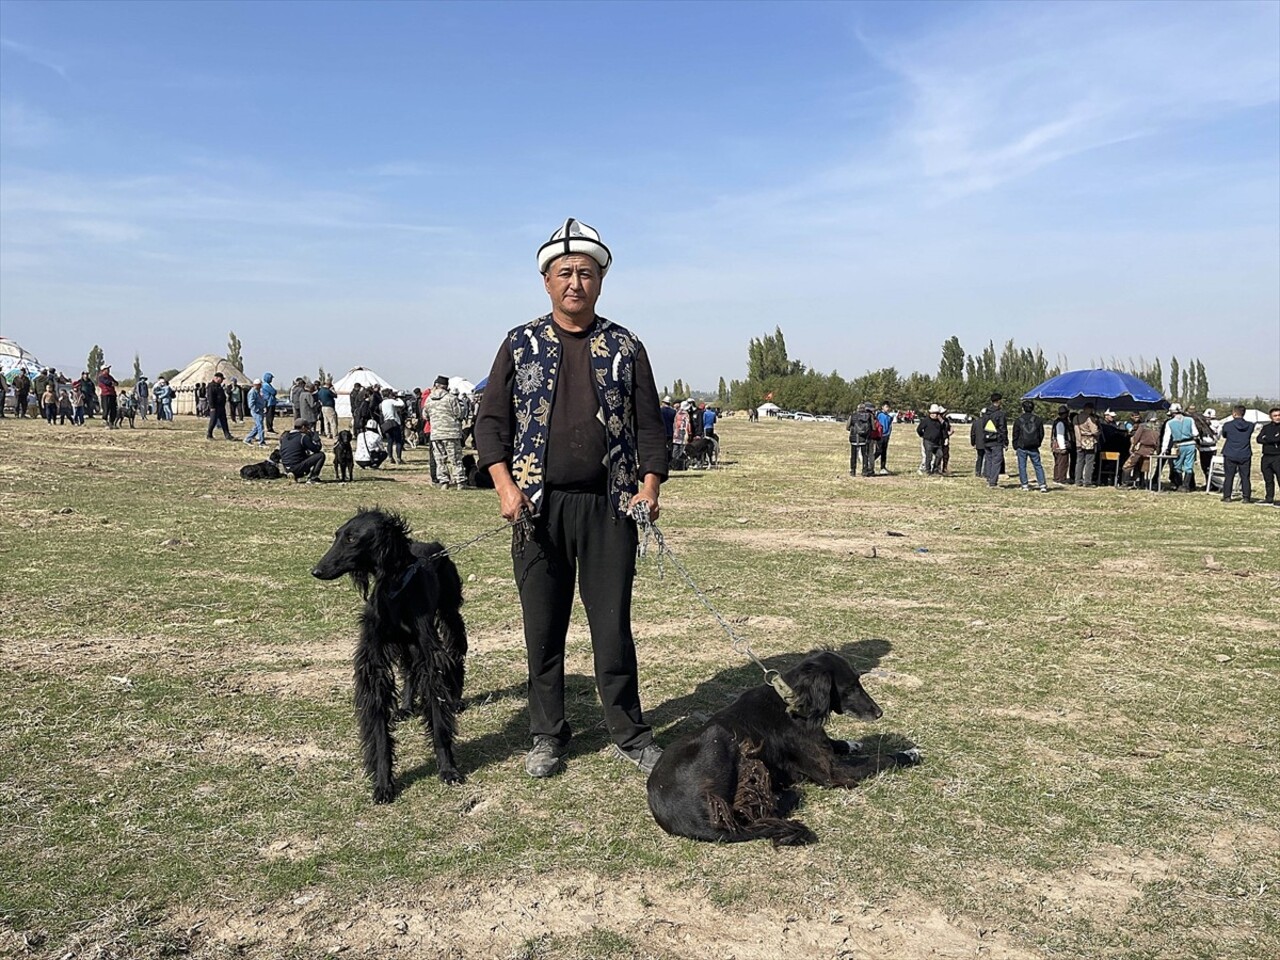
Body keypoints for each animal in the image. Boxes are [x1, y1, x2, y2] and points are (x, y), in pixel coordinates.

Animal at [309, 512, 471, 803]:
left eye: (352, 538)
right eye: (337, 535)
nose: (316, 571)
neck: (395, 588)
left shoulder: (430, 657)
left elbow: (438, 718)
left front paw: (447, 768)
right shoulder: (374, 664)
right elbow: (379, 732)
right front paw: (383, 782)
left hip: (449, 613)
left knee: (456, 654)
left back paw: (456, 698)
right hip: (404, 644)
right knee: (408, 671)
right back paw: (406, 705)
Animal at [650, 650, 921, 844]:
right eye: (852, 687)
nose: (879, 712)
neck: (795, 703)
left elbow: (837, 744)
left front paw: (852, 743)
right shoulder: (833, 773)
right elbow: (879, 758)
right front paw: (908, 754)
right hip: (720, 740)